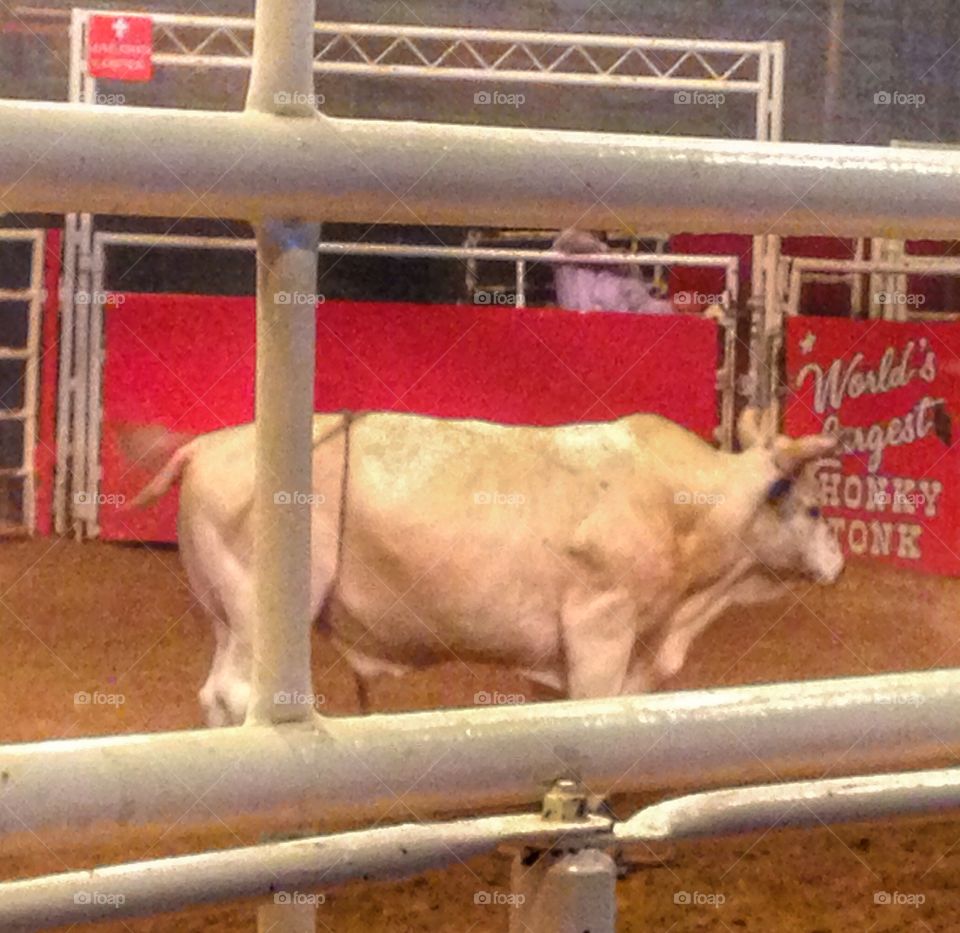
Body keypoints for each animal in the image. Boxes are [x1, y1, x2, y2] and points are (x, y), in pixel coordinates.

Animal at [124, 406, 843, 727]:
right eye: (811, 507)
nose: (838, 560)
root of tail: (206, 445)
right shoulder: (601, 628)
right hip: (259, 607)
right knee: (237, 692)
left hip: (226, 612)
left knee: (216, 693)